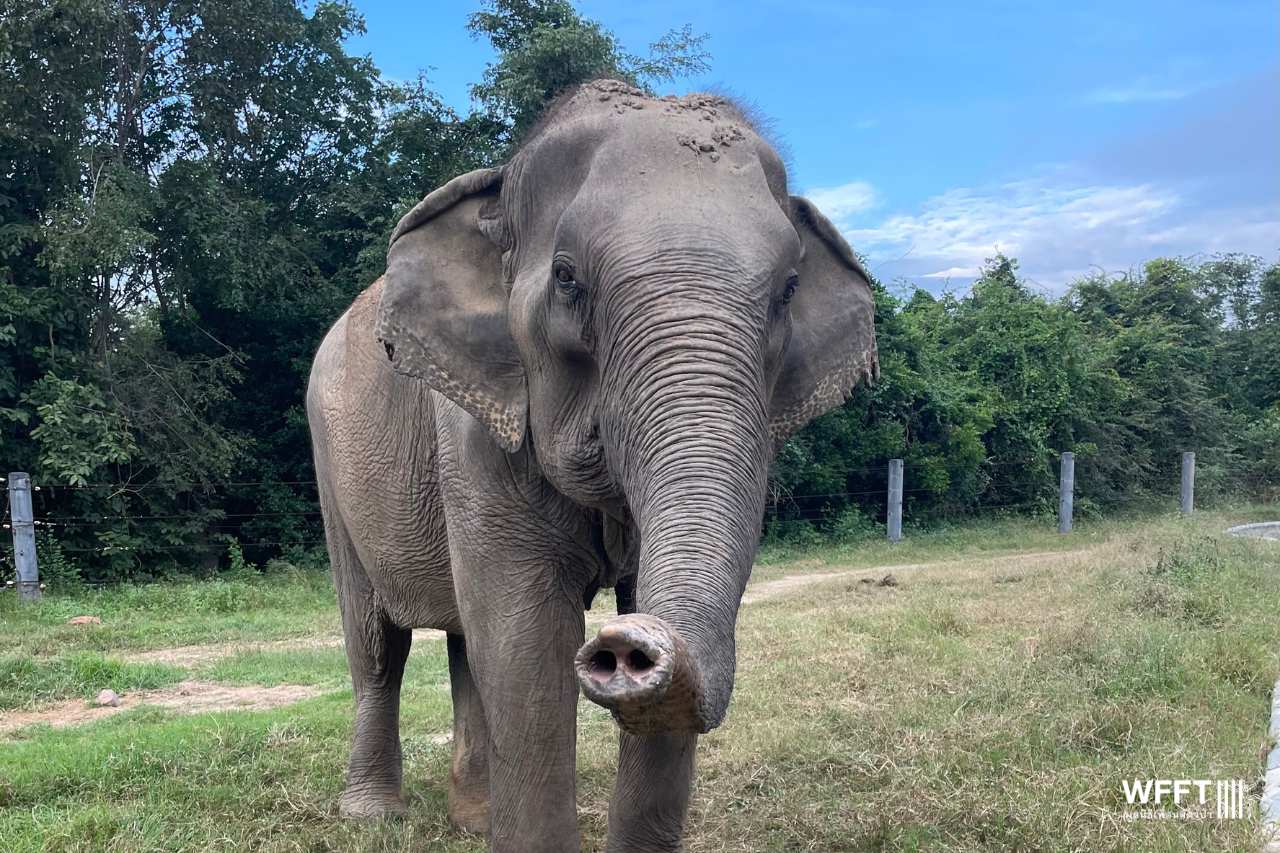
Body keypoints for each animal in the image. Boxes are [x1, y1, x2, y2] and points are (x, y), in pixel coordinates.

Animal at [304, 76, 875, 845]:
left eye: (788, 289)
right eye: (568, 279)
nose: (628, 648)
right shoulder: (477, 428)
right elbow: (528, 641)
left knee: (464, 642)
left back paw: (473, 820)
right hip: (329, 463)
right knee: (377, 644)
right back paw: (373, 814)